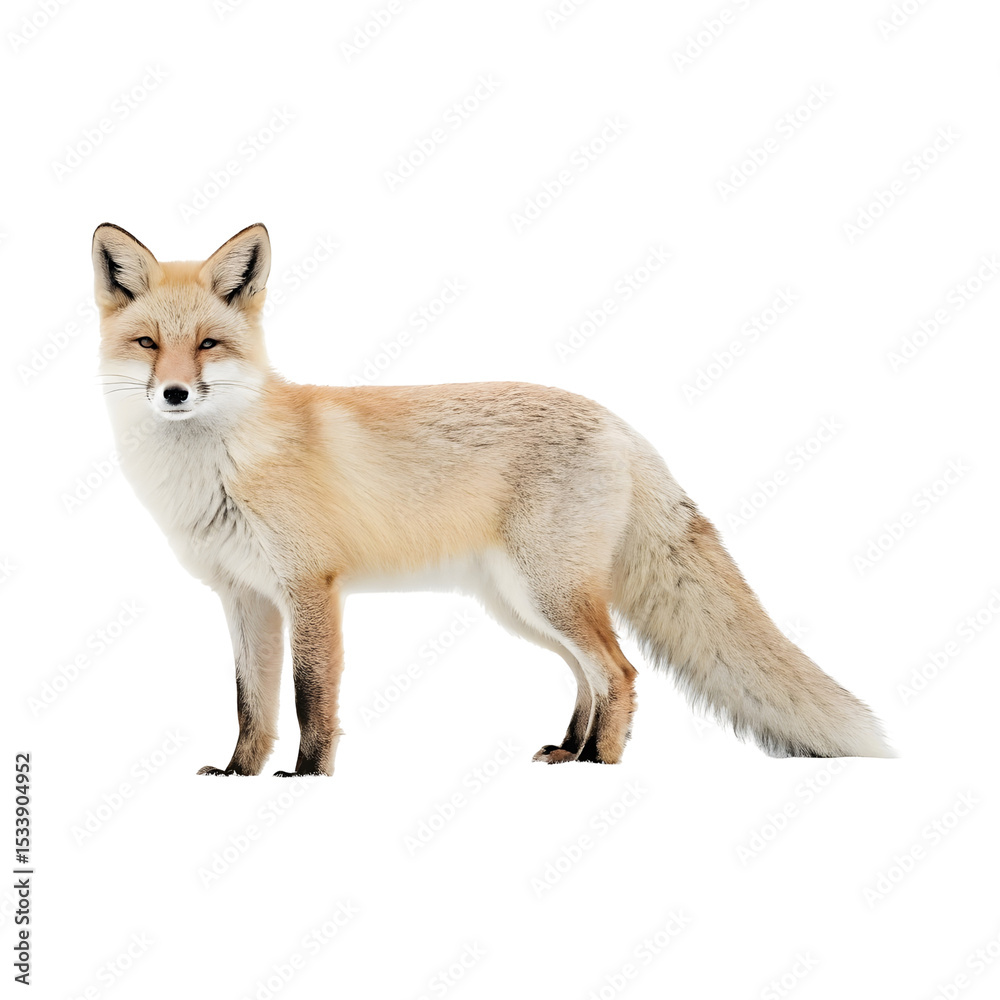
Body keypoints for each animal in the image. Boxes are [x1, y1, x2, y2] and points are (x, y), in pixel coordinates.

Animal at [92, 222, 893, 776]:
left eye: (208, 345)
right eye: (147, 343)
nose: (174, 393)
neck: (221, 466)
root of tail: (619, 424)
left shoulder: (310, 587)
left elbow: (309, 698)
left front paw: (308, 779)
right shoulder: (245, 596)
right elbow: (250, 704)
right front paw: (238, 775)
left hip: (548, 592)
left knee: (620, 671)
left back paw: (600, 766)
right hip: (524, 604)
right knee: (588, 674)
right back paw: (571, 749)